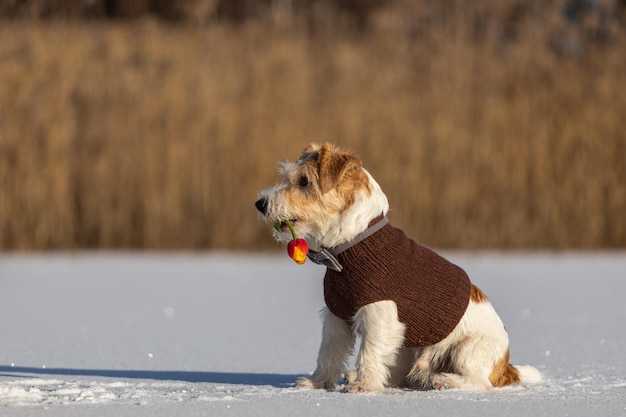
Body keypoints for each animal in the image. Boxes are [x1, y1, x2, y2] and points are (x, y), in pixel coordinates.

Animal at [255, 142, 540, 390]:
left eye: (304, 181)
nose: (260, 203)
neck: (352, 244)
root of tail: (507, 367)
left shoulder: (379, 314)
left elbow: (369, 352)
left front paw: (364, 387)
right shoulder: (337, 316)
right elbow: (328, 353)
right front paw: (318, 383)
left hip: (467, 349)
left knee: (479, 383)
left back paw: (445, 381)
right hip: (408, 348)